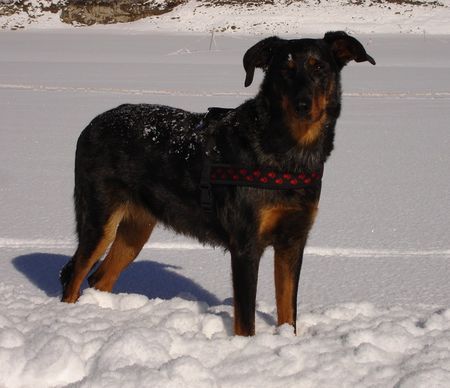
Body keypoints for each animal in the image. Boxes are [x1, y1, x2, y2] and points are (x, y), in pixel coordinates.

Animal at [60, 31, 376, 336]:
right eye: (284, 71)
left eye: (319, 67)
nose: (302, 105)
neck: (289, 154)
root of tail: (90, 126)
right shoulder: (246, 245)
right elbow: (246, 322)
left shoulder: (293, 241)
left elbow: (289, 314)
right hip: (100, 218)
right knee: (73, 275)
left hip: (136, 228)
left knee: (99, 278)